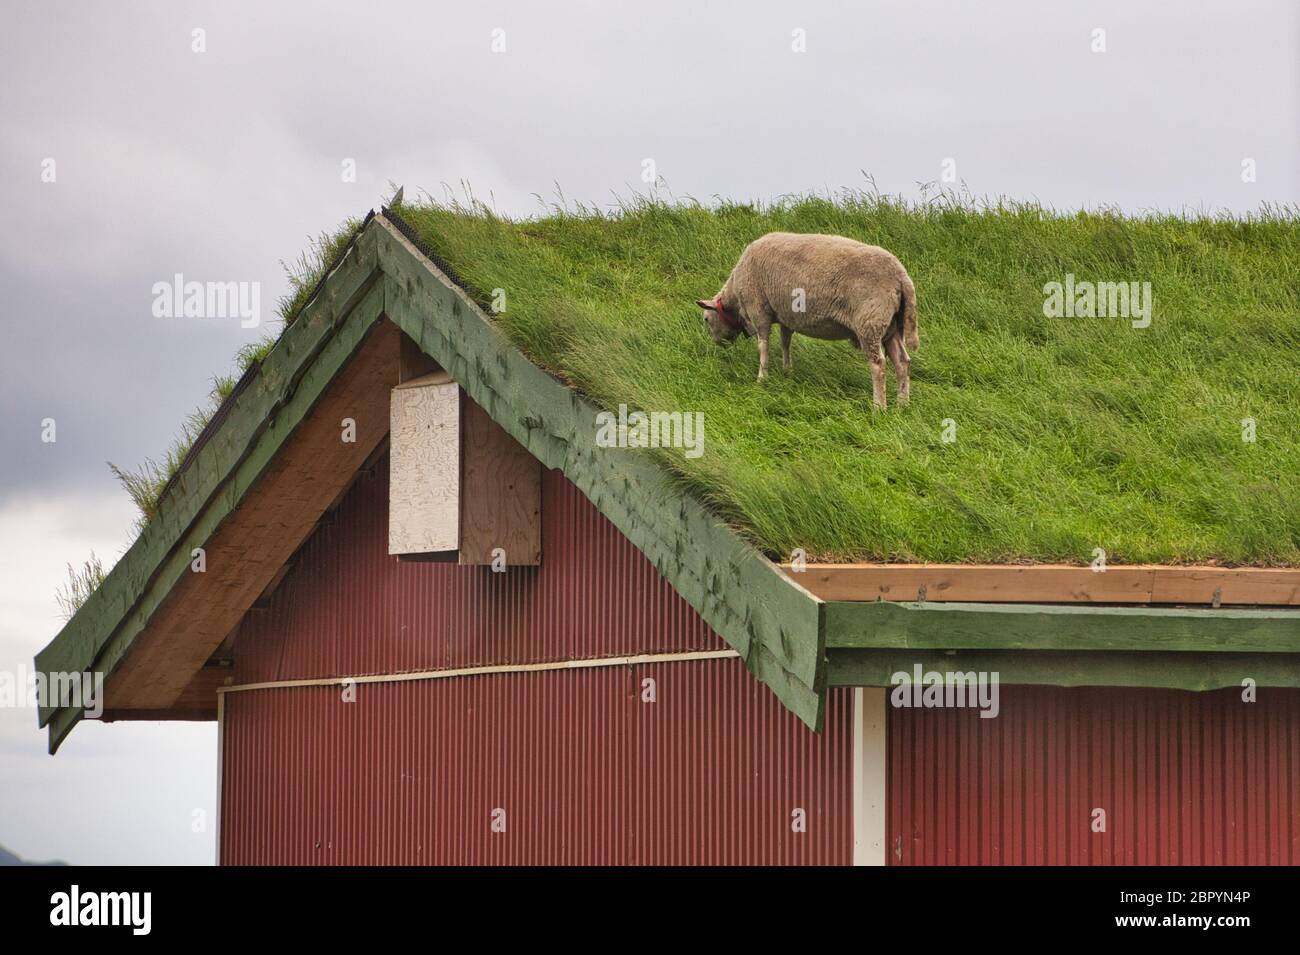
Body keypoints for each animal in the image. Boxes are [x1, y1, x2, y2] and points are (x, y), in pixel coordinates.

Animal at [696, 232, 918, 408]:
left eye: (706, 319)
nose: (718, 344)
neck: (735, 295)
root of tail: (901, 276)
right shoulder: (786, 316)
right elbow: (785, 343)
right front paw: (787, 372)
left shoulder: (758, 309)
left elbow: (763, 346)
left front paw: (762, 378)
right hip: (891, 326)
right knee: (901, 362)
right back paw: (902, 404)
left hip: (870, 322)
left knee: (878, 364)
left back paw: (879, 406)